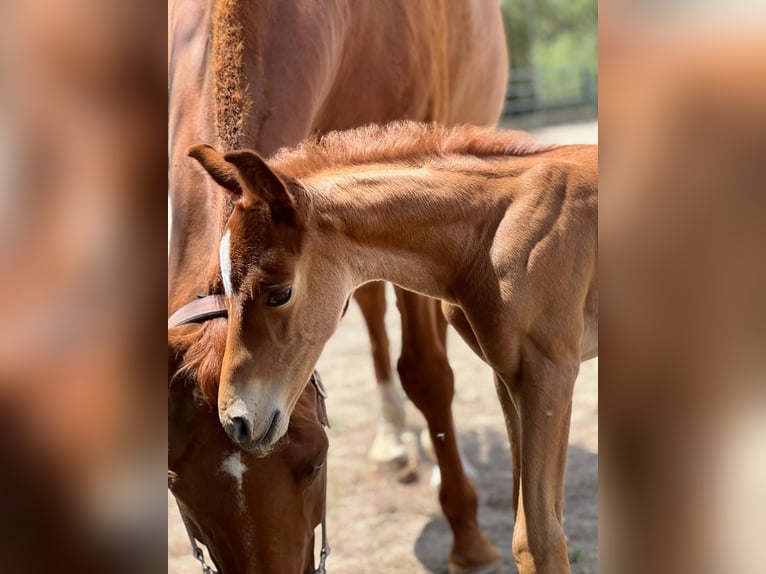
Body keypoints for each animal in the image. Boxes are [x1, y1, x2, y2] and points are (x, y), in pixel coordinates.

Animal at [190, 122, 600, 574]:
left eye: (279, 294)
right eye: (222, 290)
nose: (237, 421)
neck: (490, 235)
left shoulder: (549, 373)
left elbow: (539, 538)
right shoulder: (508, 376)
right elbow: (524, 511)